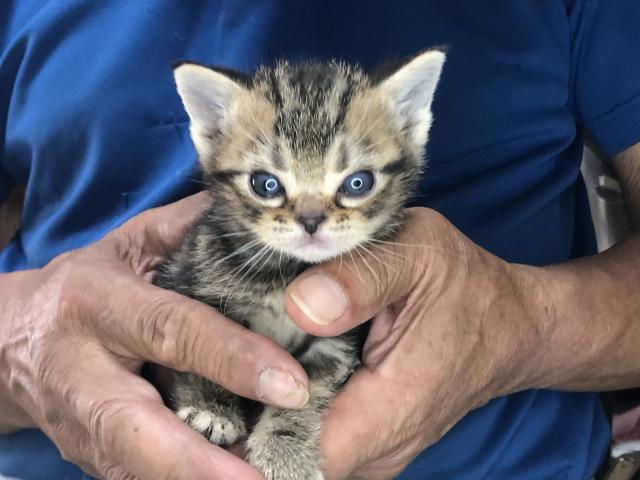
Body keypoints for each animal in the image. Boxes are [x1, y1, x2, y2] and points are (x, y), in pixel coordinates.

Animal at [154, 50, 444, 478]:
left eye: (358, 183)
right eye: (266, 184)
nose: (310, 220)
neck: (284, 275)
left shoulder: (335, 339)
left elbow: (304, 393)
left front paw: (284, 450)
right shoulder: (192, 281)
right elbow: (201, 358)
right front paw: (211, 409)